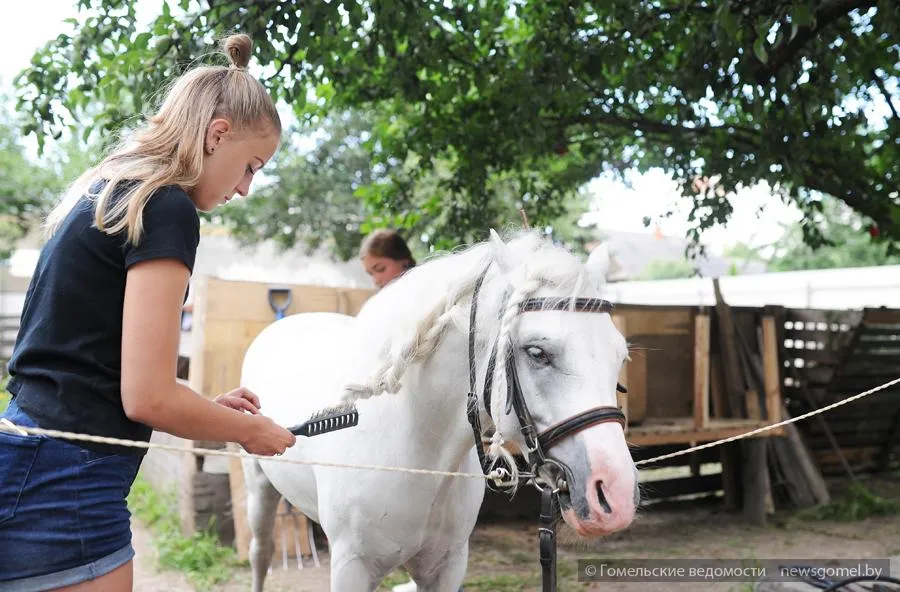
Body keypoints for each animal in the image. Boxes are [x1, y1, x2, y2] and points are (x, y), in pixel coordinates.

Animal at [239, 230, 640, 592]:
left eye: (620, 357)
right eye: (537, 352)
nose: (616, 495)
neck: (414, 453)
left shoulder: (446, 566)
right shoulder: (351, 568)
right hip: (259, 491)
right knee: (262, 553)